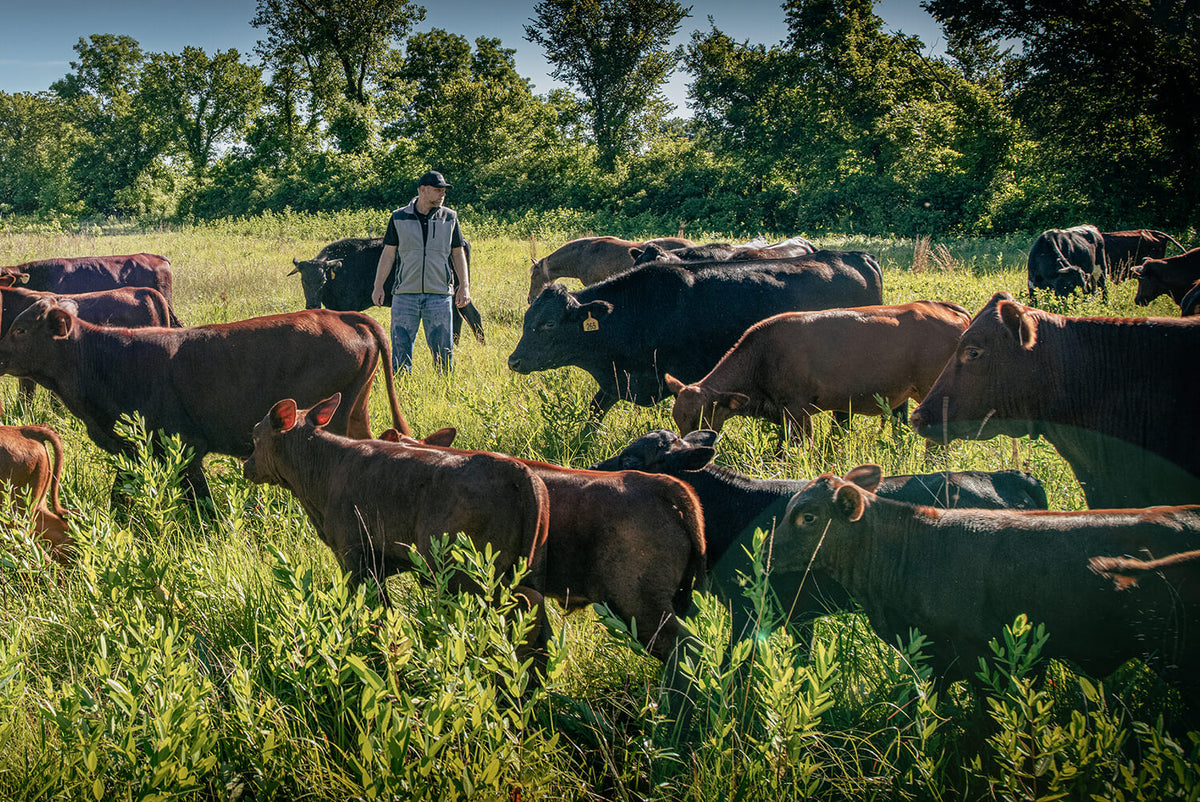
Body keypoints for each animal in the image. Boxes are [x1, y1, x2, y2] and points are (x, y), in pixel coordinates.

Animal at [0, 301, 410, 506]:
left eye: (20, 329)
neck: (109, 359)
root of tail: (341, 314)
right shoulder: (130, 450)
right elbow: (120, 498)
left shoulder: (185, 446)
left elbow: (201, 504)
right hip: (355, 412)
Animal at [243, 394, 552, 664]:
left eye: (255, 438)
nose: (246, 466)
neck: (320, 475)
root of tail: (518, 471)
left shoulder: (355, 558)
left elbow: (374, 613)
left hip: (471, 576)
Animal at [289, 236, 485, 345]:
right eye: (303, 280)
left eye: (322, 281)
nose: (312, 305)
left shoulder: (347, 306)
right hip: (460, 294)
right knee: (468, 315)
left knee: (462, 317)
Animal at [509, 253, 884, 421]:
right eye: (527, 320)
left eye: (548, 325)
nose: (514, 360)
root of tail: (854, 256)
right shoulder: (617, 381)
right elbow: (592, 415)